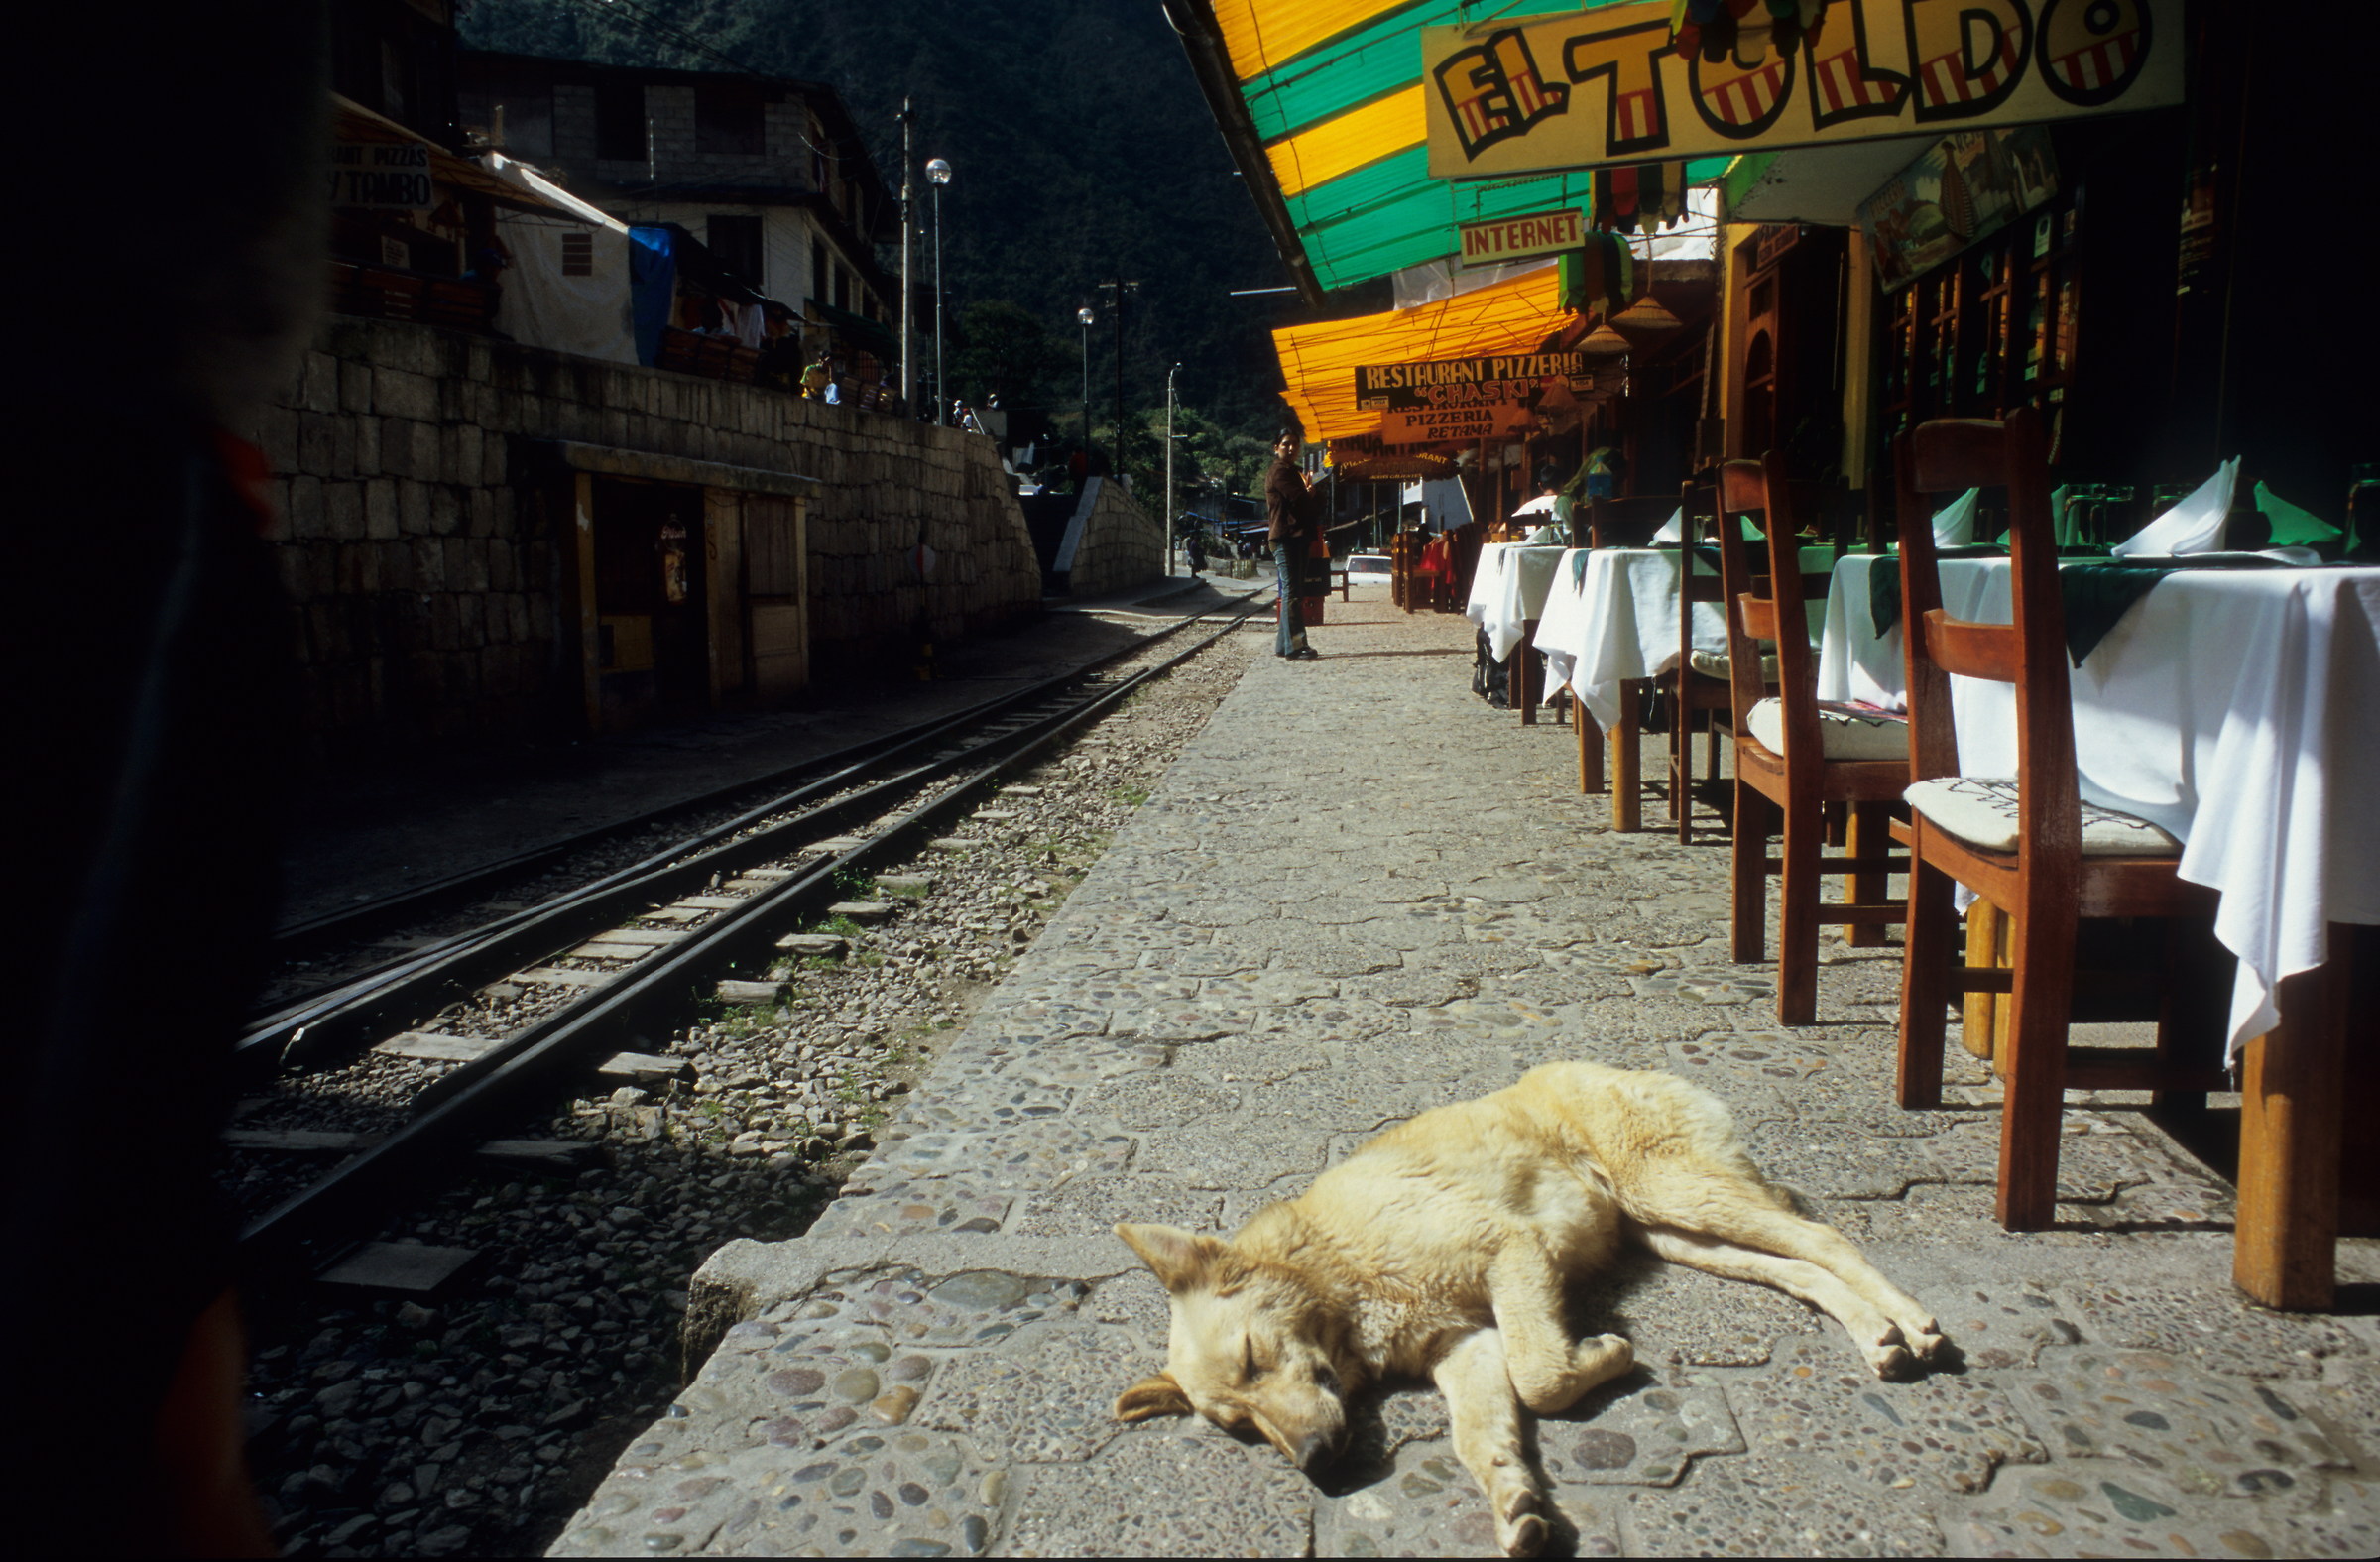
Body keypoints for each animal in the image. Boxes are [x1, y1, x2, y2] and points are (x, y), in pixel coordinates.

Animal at [1104, 1057, 1942, 1552]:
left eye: (1253, 1358)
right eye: (1238, 1426)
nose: (1314, 1462)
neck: (1338, 1269)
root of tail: (1613, 1061)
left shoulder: (1511, 1251)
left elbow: (1541, 1372)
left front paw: (1606, 1354)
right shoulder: (1464, 1345)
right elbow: (1481, 1434)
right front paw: (1512, 1498)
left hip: (1674, 1190)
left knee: (1826, 1237)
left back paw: (1916, 1323)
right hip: (1676, 1233)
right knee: (1799, 1269)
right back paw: (1876, 1334)